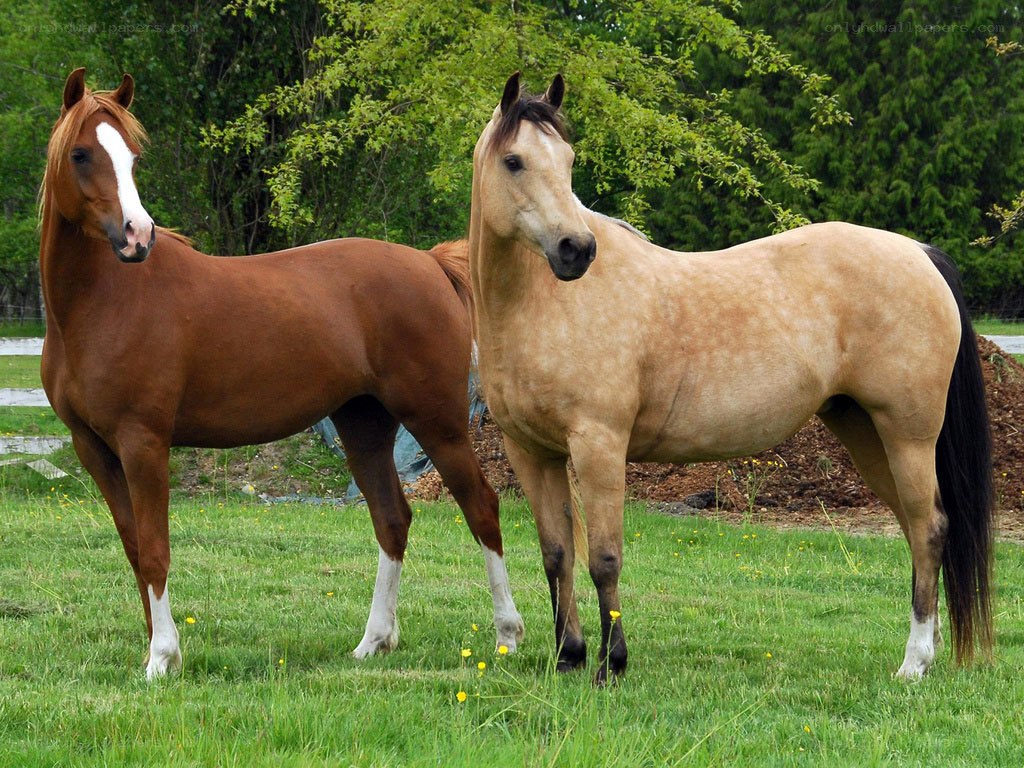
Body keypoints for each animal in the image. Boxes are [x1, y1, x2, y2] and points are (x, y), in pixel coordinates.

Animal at [39, 68, 524, 680]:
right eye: (81, 154)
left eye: (132, 156)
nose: (137, 237)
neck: (101, 304)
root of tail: (431, 264)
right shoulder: (94, 448)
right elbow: (133, 548)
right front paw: (157, 652)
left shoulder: (142, 442)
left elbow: (154, 549)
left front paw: (162, 659)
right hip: (364, 426)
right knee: (392, 519)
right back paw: (373, 642)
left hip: (438, 422)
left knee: (481, 507)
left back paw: (507, 636)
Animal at [468, 72, 993, 684]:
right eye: (514, 161)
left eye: (569, 160)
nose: (576, 250)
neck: (539, 305)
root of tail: (920, 252)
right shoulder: (532, 452)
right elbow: (557, 554)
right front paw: (568, 656)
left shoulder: (599, 445)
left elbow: (604, 558)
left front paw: (611, 664)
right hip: (867, 434)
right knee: (918, 530)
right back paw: (928, 650)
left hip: (908, 437)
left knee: (929, 529)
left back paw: (913, 663)